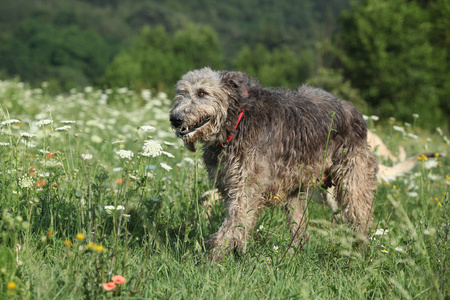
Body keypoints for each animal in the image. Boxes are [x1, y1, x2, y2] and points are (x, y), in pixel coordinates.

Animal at [171, 67, 378, 262]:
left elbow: (233, 223)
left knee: (360, 217)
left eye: (202, 93)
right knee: (301, 231)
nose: (175, 119)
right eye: (181, 93)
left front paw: (211, 261)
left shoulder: (245, 188)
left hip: (353, 182)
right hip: (295, 188)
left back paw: (359, 256)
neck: (236, 121)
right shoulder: (231, 184)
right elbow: (240, 225)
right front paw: (235, 256)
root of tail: (355, 112)